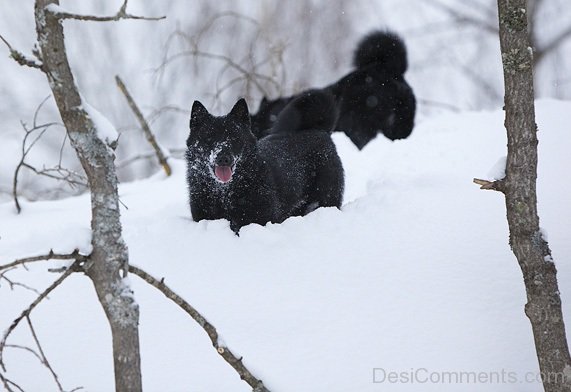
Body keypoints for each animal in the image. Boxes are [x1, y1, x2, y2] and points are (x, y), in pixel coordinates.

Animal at [187, 90, 344, 234]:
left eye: (234, 138)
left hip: (326, 198)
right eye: (209, 138)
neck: (224, 194)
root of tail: (318, 129)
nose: (223, 158)